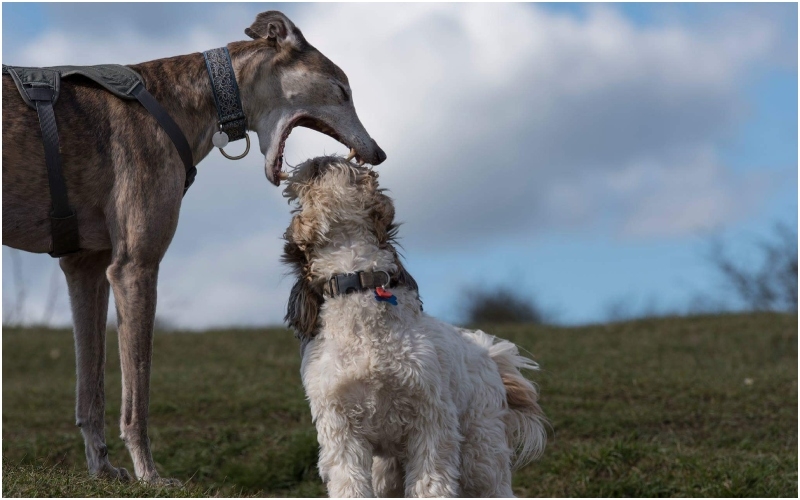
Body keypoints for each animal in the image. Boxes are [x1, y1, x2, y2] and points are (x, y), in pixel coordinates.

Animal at [282, 157, 552, 496]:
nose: (319, 158)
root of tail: (488, 353)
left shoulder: (431, 422)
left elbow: (431, 482)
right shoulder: (341, 431)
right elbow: (349, 483)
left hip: (480, 450)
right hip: (387, 470)